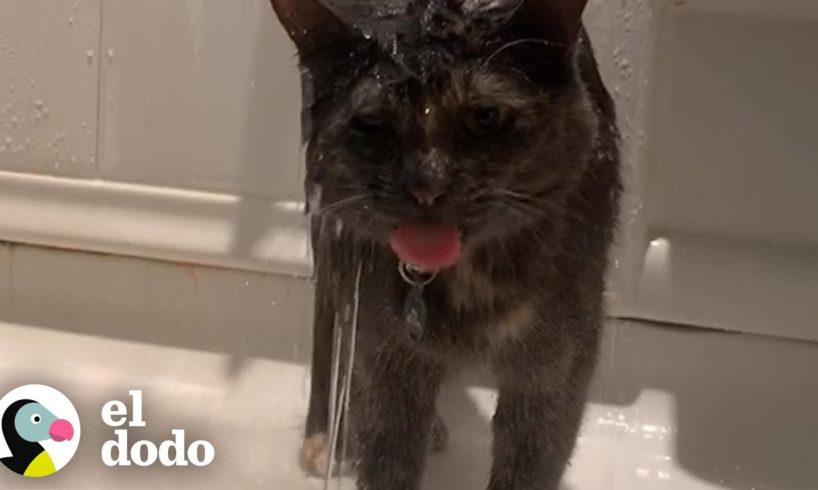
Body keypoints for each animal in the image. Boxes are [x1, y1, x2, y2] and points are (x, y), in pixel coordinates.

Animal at [269, 1, 621, 488]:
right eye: (373, 123)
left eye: (486, 117)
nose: (426, 185)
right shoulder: (385, 358)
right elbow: (386, 454)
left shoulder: (555, 368)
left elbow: (530, 459)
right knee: (329, 327)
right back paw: (326, 438)